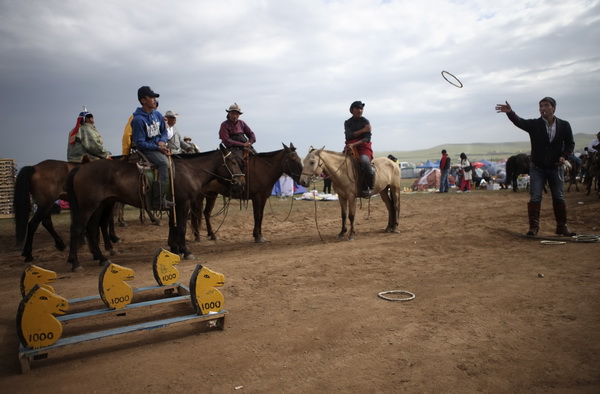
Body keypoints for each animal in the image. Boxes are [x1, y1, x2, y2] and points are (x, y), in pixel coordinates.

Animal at [65, 146, 244, 272]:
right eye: (233, 162)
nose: (241, 183)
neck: (190, 171)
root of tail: (81, 168)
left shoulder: (173, 206)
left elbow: (174, 226)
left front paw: (174, 248)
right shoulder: (183, 203)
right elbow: (182, 227)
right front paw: (185, 251)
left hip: (100, 205)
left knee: (91, 228)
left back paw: (101, 257)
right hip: (89, 206)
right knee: (77, 229)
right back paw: (75, 262)